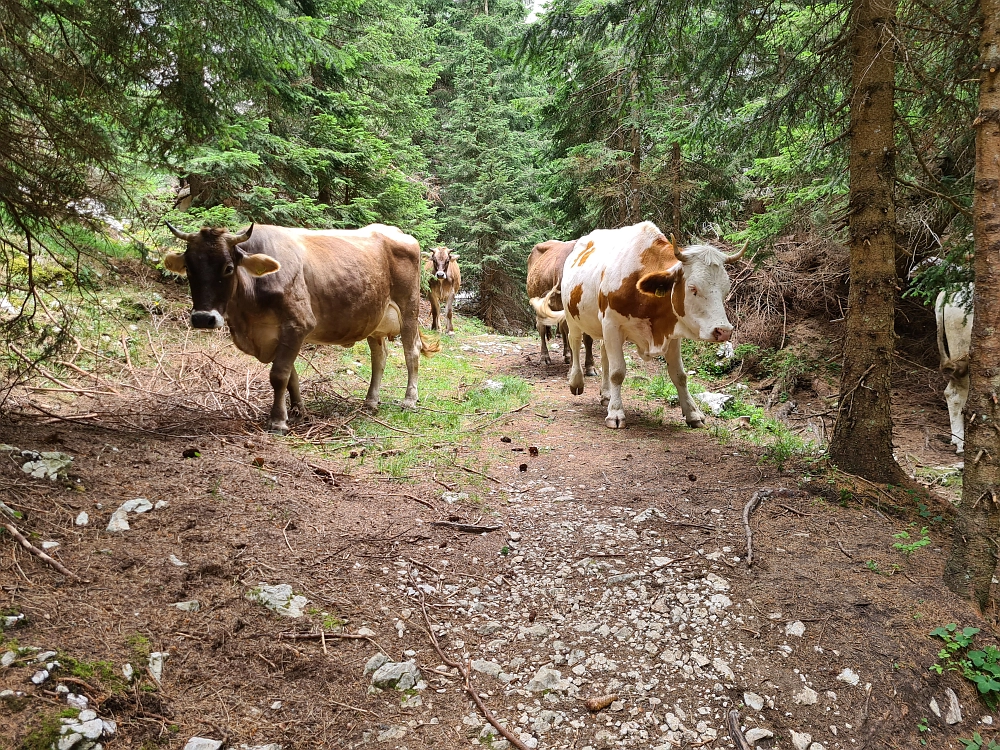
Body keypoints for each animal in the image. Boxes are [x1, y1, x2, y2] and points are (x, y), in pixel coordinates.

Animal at [164, 222, 438, 434]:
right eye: (188, 267)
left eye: (228, 268)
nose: (203, 318)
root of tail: (397, 232)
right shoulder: (277, 335)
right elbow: (291, 376)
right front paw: (297, 411)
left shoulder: (298, 323)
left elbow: (279, 375)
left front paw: (277, 421)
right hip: (374, 319)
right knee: (379, 357)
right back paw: (370, 401)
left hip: (409, 308)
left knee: (411, 351)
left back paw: (409, 399)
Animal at [528, 241, 596, 376]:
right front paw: (573, 370)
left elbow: (587, 339)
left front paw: (590, 367)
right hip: (539, 303)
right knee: (541, 328)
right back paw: (544, 358)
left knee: (562, 330)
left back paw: (567, 356)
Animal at [540, 220, 744, 428]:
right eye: (692, 288)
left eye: (725, 288)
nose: (723, 330)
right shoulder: (612, 324)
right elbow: (617, 372)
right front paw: (616, 413)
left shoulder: (671, 333)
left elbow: (679, 375)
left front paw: (693, 413)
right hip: (572, 316)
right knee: (574, 342)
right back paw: (576, 381)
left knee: (604, 354)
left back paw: (606, 394)